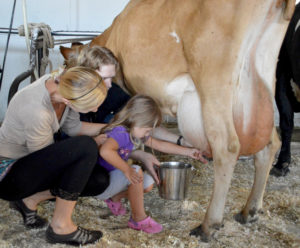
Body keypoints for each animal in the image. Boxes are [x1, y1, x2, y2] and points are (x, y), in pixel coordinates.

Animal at [59, 0, 296, 240]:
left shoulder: (124, 84)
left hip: (213, 81)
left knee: (227, 146)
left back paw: (208, 225)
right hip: (263, 79)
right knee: (270, 142)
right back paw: (250, 210)